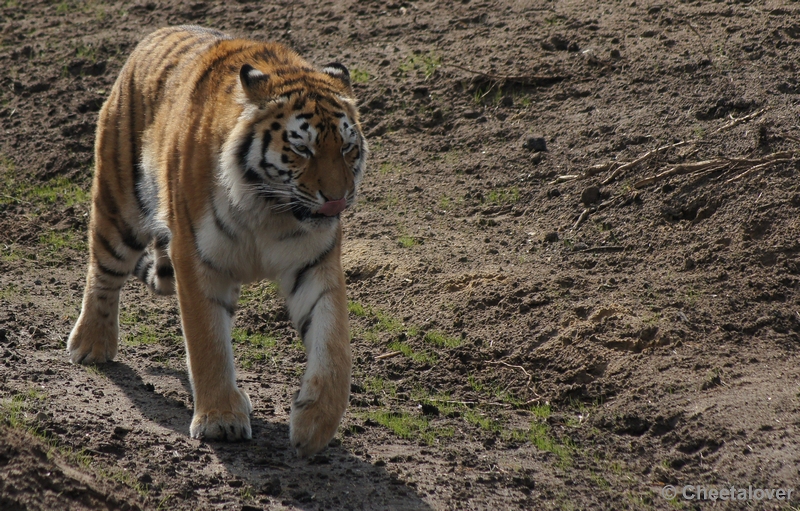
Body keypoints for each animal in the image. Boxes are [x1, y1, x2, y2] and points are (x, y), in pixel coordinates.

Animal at [67, 24, 368, 458]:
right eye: (302, 148)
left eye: (347, 148)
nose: (338, 199)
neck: (269, 209)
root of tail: (156, 33)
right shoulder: (195, 258)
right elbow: (208, 342)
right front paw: (220, 420)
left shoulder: (315, 263)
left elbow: (334, 344)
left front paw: (315, 423)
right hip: (119, 207)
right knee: (102, 272)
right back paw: (91, 344)